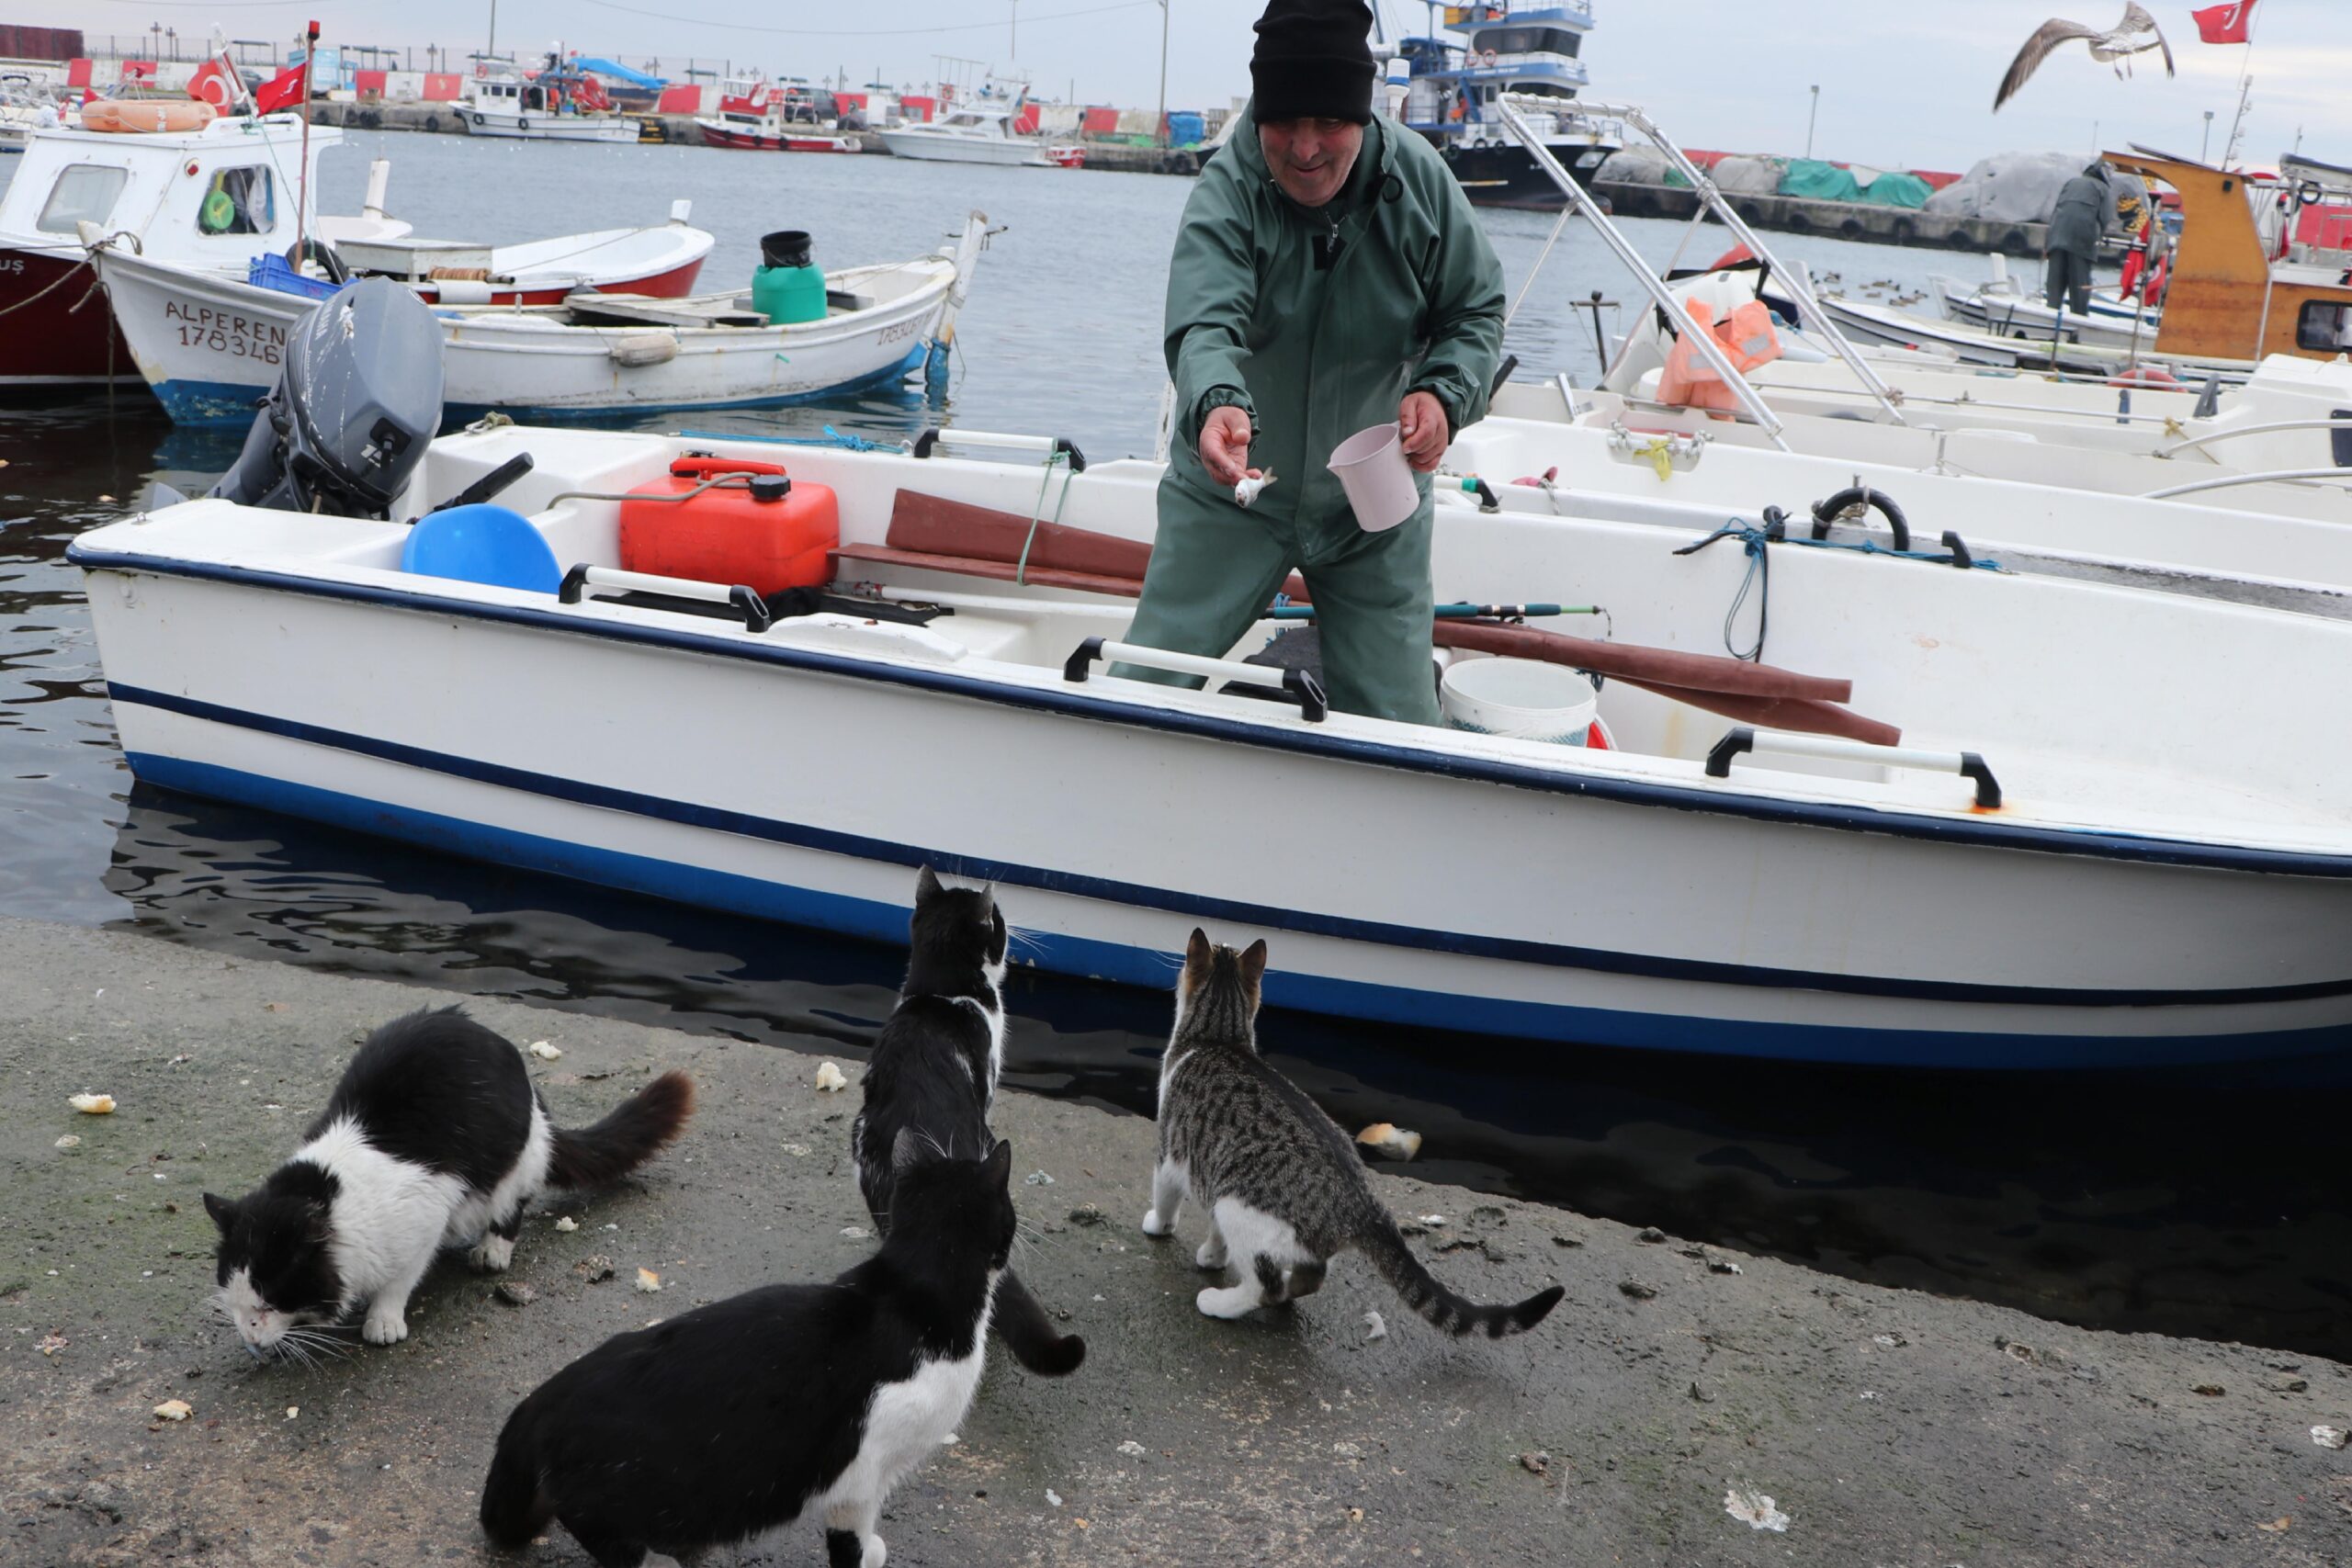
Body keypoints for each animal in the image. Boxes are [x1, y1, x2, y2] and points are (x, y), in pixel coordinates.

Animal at [203, 1010, 686, 1354]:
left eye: (268, 1302)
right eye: (235, 1299)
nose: (249, 1337)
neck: (328, 1191)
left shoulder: (425, 1217)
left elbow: (401, 1278)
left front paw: (383, 1319)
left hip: (515, 1163)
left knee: (513, 1202)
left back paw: (493, 1250)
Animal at [480, 1133, 1021, 1568]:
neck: (916, 1292)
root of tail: (538, 1402)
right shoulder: (863, 1472)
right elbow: (850, 1539)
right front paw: (869, 1553)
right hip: (635, 1489)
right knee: (592, 1522)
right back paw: (655, 1560)